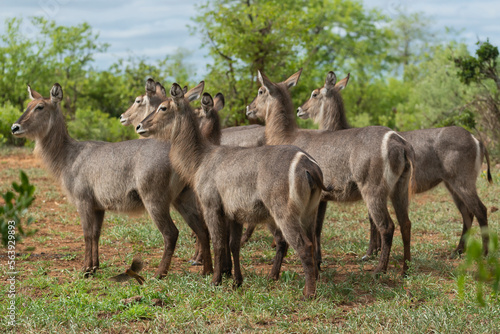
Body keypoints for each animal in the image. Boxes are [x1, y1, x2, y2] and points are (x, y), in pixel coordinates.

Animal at [11, 83, 211, 276]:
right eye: (28, 105)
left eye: (40, 107)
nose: (14, 127)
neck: (68, 155)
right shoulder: (98, 206)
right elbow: (96, 234)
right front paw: (95, 267)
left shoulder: (83, 201)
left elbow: (87, 234)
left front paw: (85, 270)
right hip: (182, 197)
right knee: (202, 229)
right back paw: (207, 271)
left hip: (155, 199)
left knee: (171, 233)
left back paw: (159, 273)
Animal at [136, 83, 328, 298]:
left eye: (162, 108)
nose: (139, 126)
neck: (200, 159)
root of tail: (308, 164)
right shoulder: (234, 214)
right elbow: (233, 245)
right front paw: (237, 281)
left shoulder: (211, 206)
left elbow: (218, 243)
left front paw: (215, 280)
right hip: (309, 213)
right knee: (312, 242)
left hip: (283, 213)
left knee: (303, 245)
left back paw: (308, 293)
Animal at [245, 70, 414, 274]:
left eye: (261, 91)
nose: (248, 108)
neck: (287, 136)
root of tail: (399, 141)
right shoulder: (321, 197)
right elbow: (317, 229)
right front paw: (318, 262)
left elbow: (311, 230)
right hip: (400, 188)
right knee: (406, 223)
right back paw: (405, 269)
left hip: (373, 190)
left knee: (387, 226)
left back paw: (379, 270)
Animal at [296, 72, 492, 258]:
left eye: (314, 94)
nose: (299, 110)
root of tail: (477, 140)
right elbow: (373, 220)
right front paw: (375, 251)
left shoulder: (370, 187)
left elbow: (373, 221)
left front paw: (370, 253)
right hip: (451, 185)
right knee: (467, 213)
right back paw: (457, 251)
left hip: (462, 182)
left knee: (481, 210)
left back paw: (484, 253)